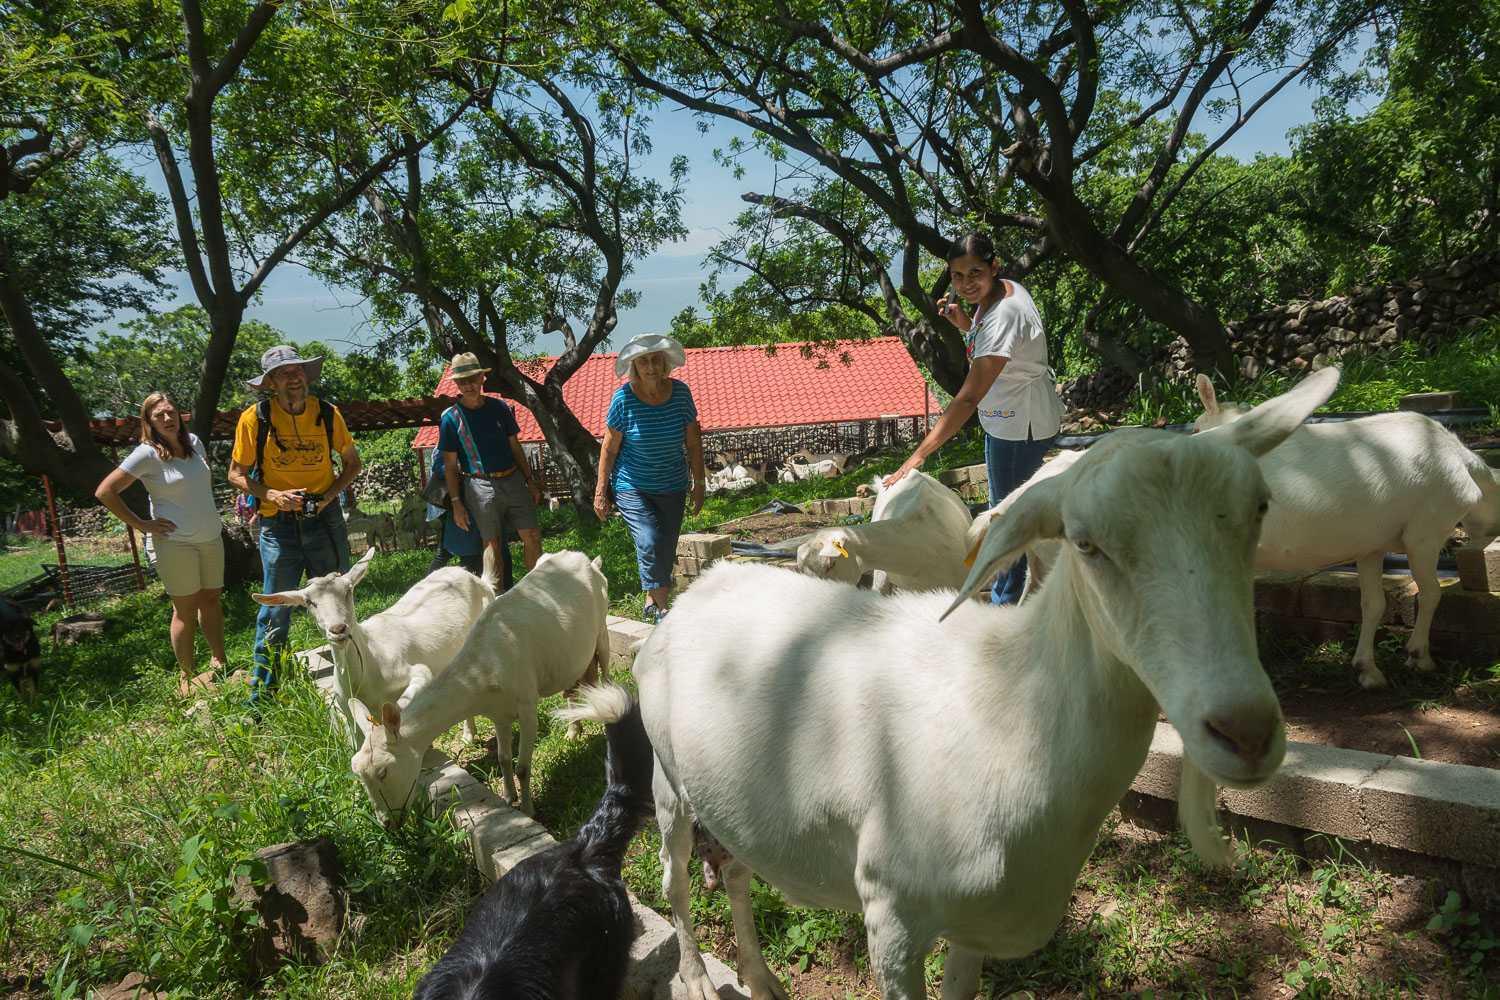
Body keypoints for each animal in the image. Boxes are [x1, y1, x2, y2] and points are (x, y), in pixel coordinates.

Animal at [254, 547, 498, 749]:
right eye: (309, 602)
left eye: (349, 590)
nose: (338, 629)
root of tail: (479, 580)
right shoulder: (344, 705)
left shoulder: (415, 671)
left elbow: (402, 704)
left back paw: (469, 735)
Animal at [348, 550, 612, 821]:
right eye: (357, 772)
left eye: (384, 771)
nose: (389, 822)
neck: (486, 669)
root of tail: (588, 559)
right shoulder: (499, 712)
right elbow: (504, 758)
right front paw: (508, 798)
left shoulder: (527, 703)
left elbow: (523, 767)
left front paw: (529, 810)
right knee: (572, 685)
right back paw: (573, 732)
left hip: (602, 627)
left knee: (606, 672)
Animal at [1195, 373, 1500, 688]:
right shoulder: (1425, 533)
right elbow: (1431, 594)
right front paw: (1420, 656)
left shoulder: (1371, 544)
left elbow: (1373, 603)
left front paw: (1368, 670)